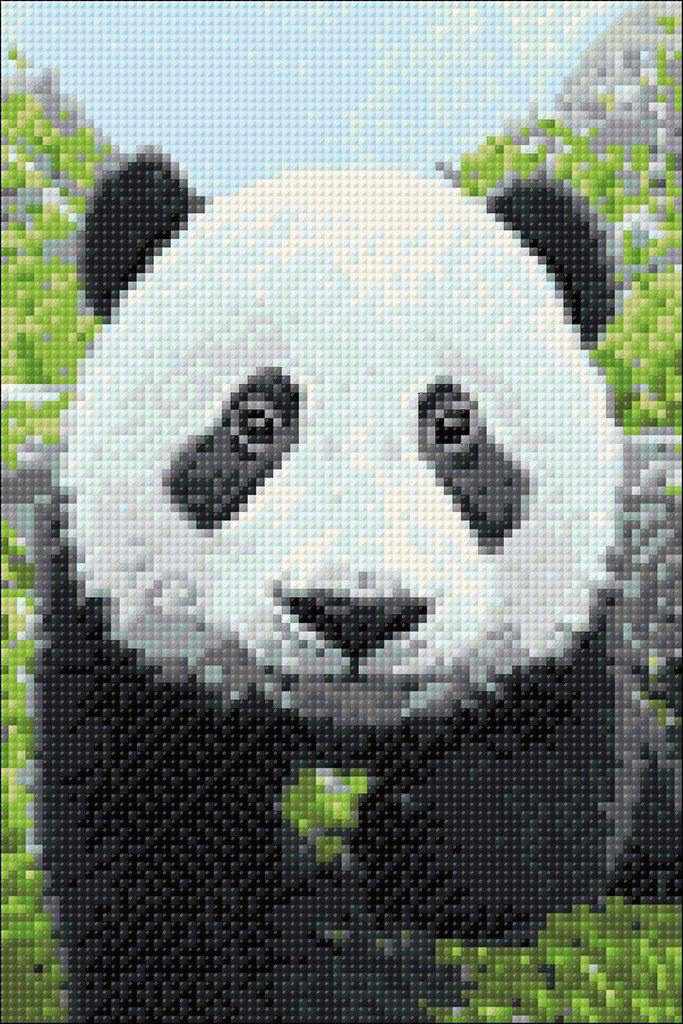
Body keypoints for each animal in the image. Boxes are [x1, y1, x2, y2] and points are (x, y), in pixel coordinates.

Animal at [32, 156, 680, 1023]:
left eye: (453, 423)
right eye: (255, 419)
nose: (355, 613)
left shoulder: (558, 659)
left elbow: (530, 820)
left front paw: (405, 857)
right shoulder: (124, 654)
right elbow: (155, 884)